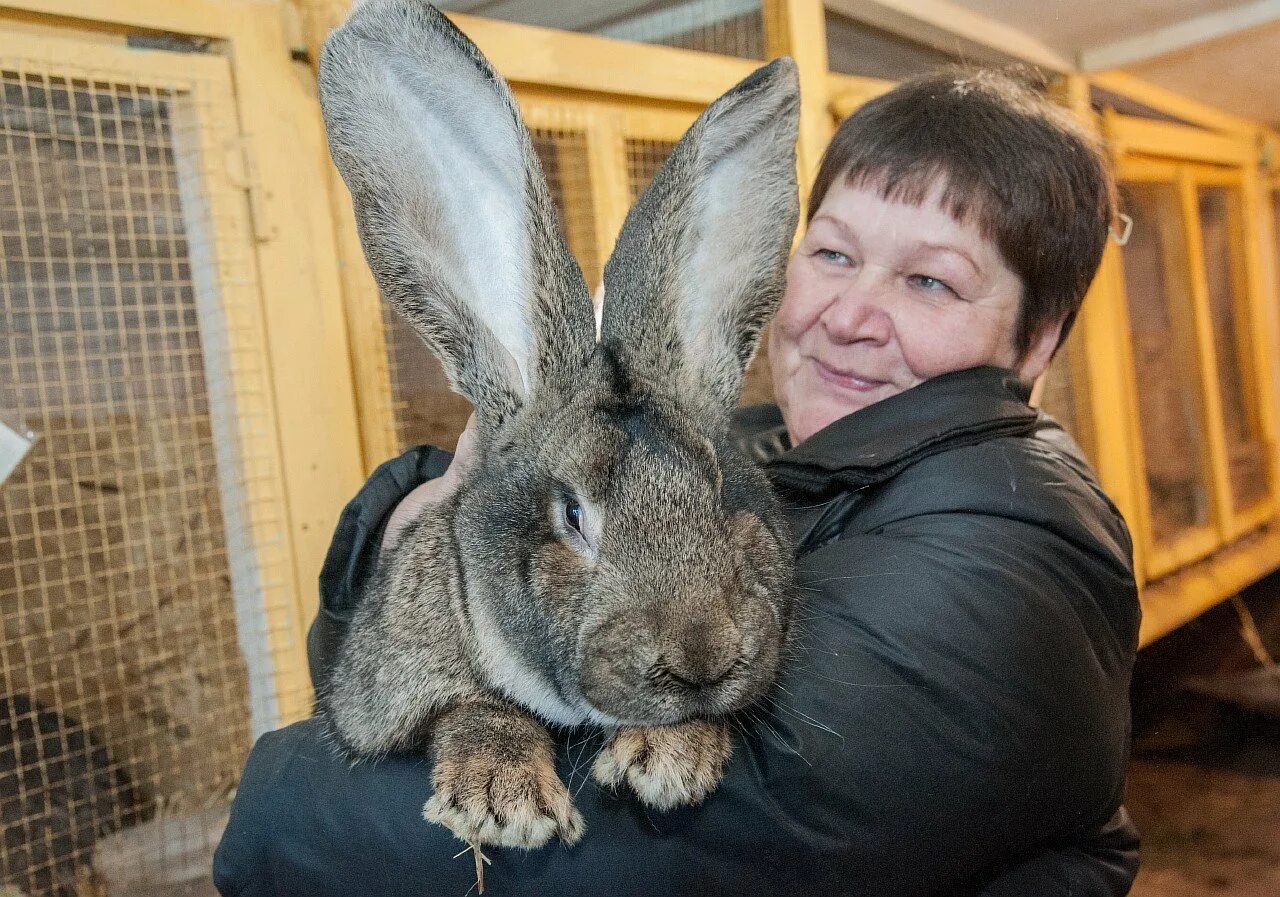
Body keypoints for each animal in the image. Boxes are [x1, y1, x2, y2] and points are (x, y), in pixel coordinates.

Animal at [317, 0, 798, 844]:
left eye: (726, 493)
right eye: (571, 515)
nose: (702, 658)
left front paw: (669, 757)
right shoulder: (389, 686)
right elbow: (470, 706)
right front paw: (502, 800)